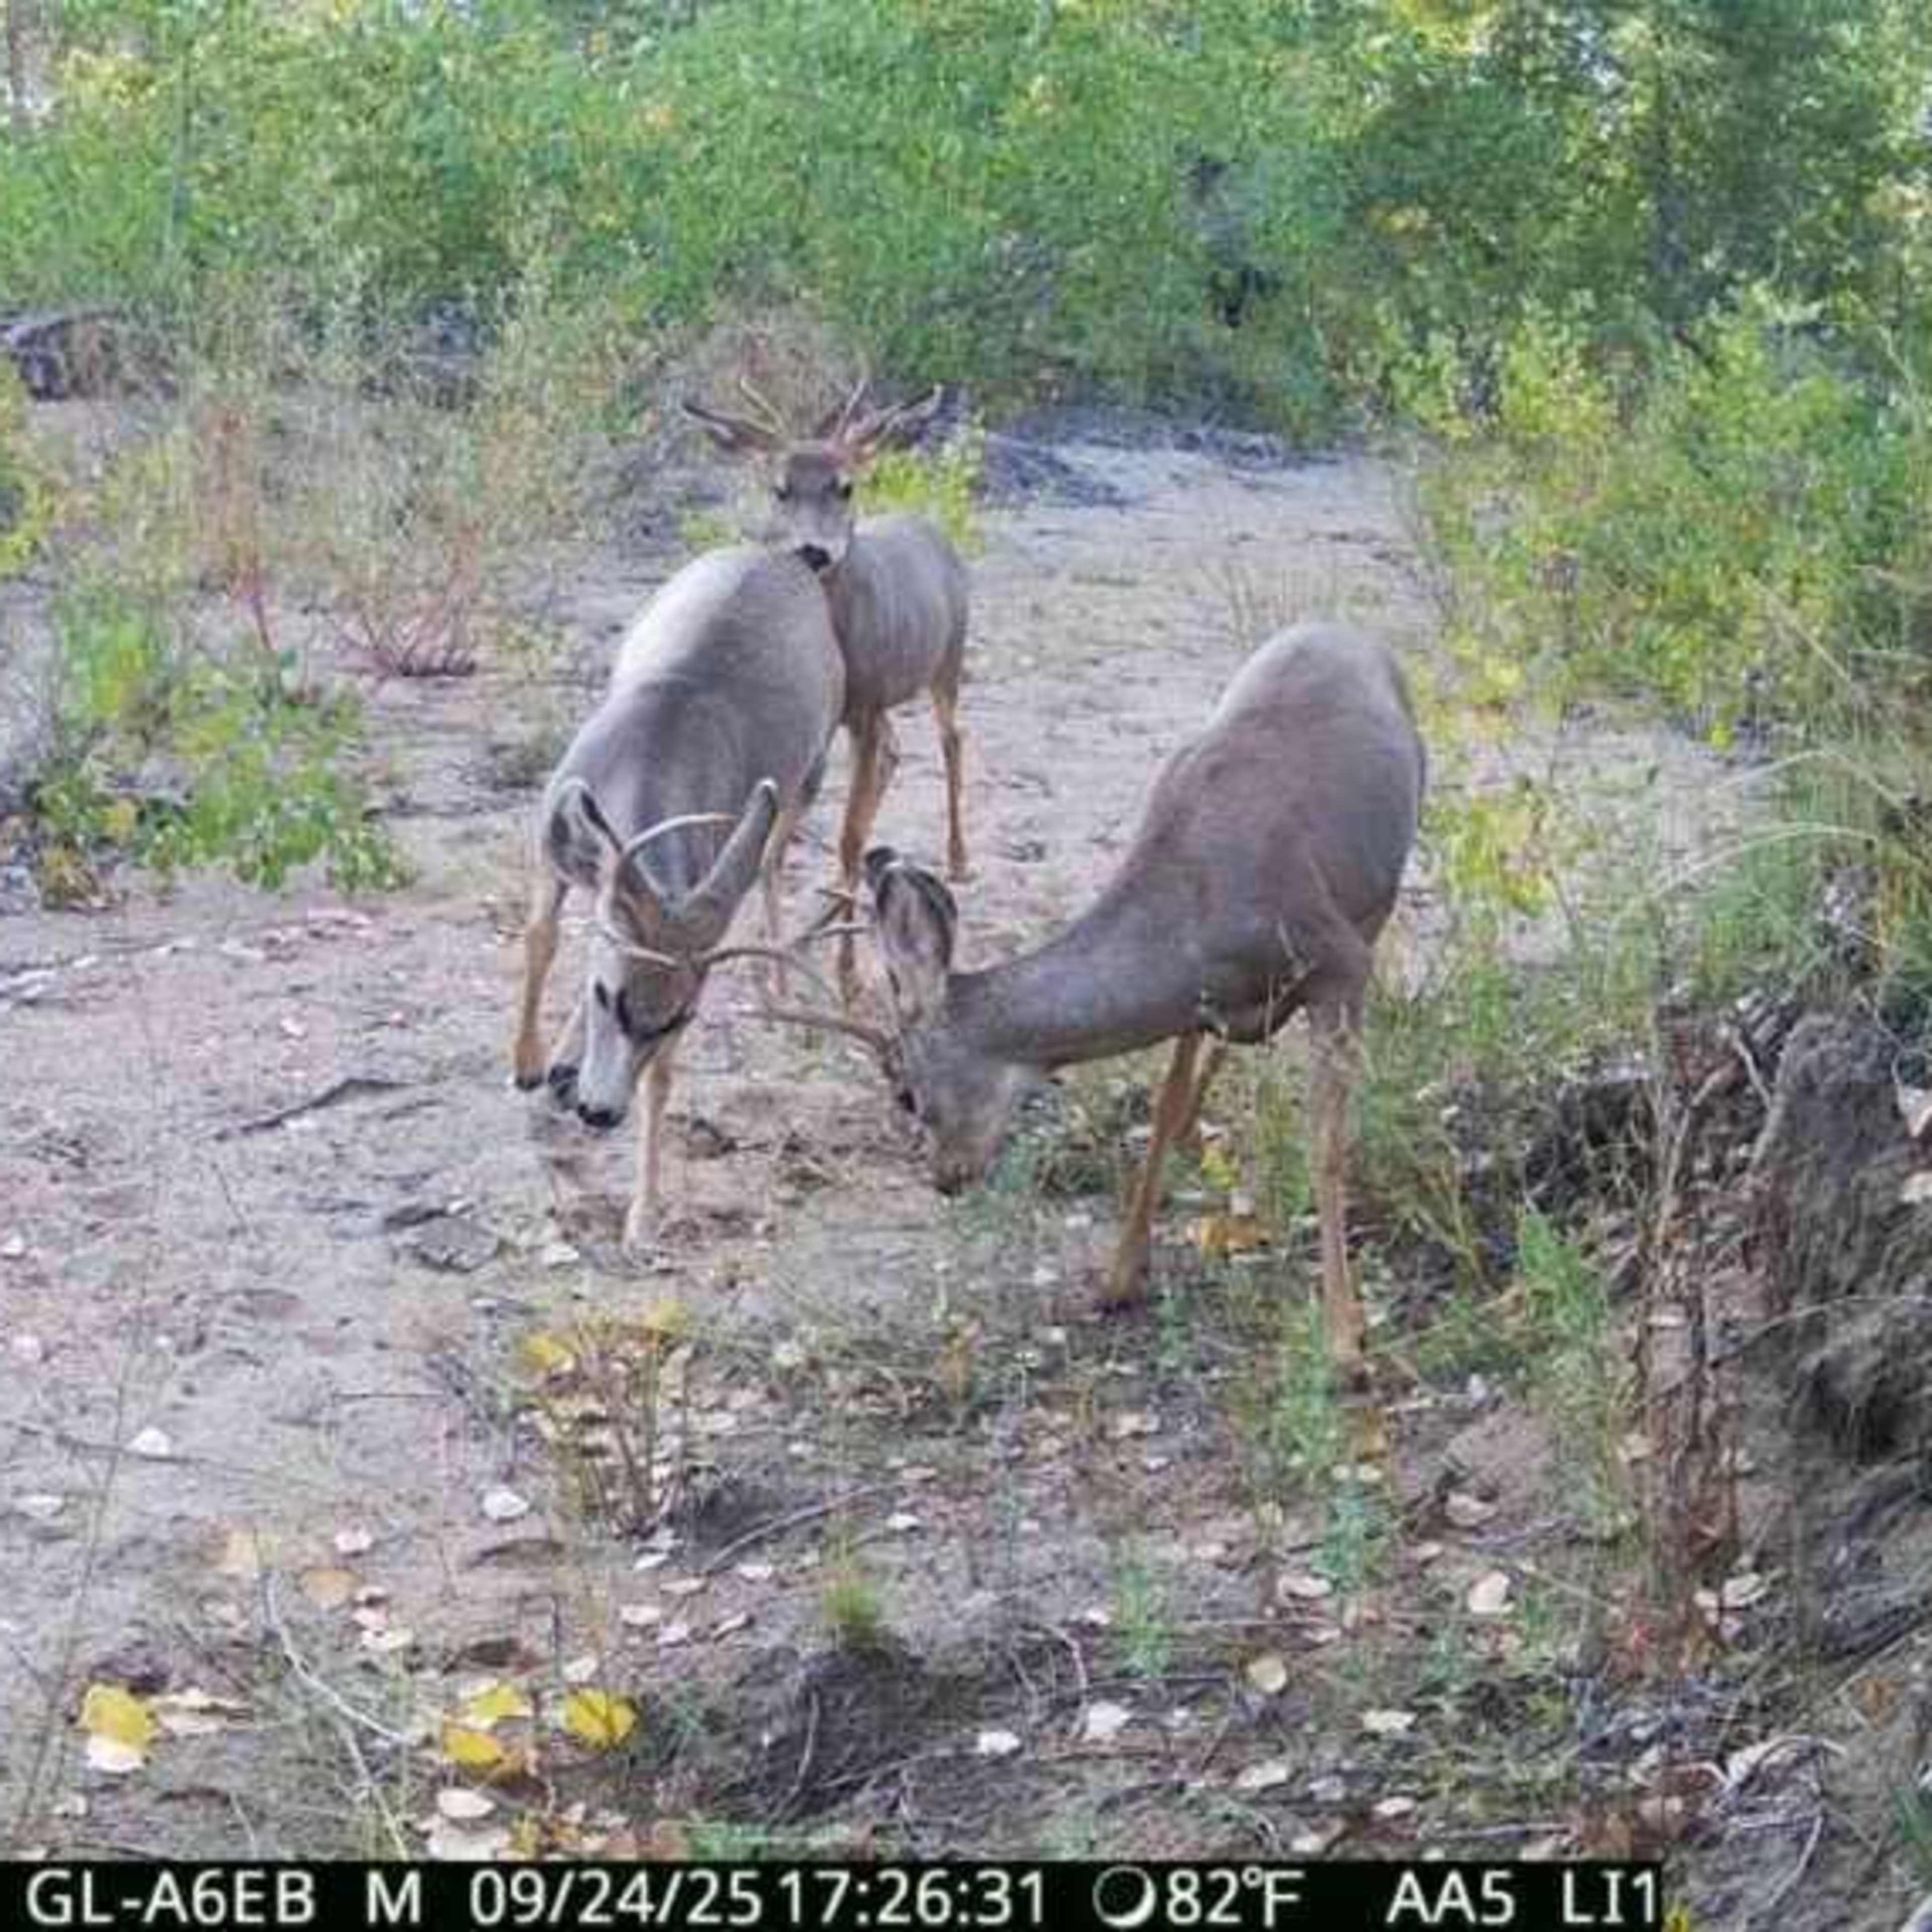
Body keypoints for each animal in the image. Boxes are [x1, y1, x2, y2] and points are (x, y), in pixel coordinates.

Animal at [510, 544, 846, 1255]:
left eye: (678, 1019)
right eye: (607, 995)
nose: (600, 1112)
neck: (652, 750)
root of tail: (783, 557)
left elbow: (662, 1082)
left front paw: (643, 1218)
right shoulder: (550, 841)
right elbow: (542, 938)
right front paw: (528, 1064)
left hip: (813, 763)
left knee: (771, 862)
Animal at [681, 379, 970, 1004]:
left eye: (845, 486)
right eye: (780, 489)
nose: (813, 551)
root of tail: (929, 528)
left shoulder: (865, 706)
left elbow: (847, 838)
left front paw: (847, 976)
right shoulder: (824, 724)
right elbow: (776, 845)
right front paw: (775, 967)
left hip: (948, 662)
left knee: (952, 739)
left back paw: (959, 859)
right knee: (898, 753)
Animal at [757, 621, 1425, 1382]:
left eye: (907, 1094)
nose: (944, 1178)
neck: (1199, 911)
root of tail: (1344, 629)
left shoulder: (1339, 961)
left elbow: (1326, 1145)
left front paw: (1346, 1343)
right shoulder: (1201, 1001)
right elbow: (1162, 1112)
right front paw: (1118, 1278)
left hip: (1381, 887)